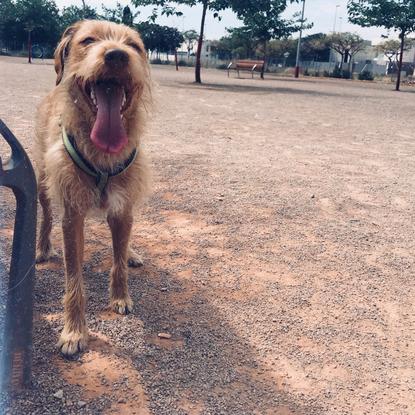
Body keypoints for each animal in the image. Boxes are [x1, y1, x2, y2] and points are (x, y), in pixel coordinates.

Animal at [34, 20, 151, 358]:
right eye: (88, 40)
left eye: (134, 46)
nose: (117, 55)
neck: (102, 155)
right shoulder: (72, 217)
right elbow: (74, 279)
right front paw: (74, 331)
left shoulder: (123, 208)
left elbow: (118, 261)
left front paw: (121, 297)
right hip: (44, 182)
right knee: (46, 214)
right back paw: (43, 248)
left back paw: (131, 253)